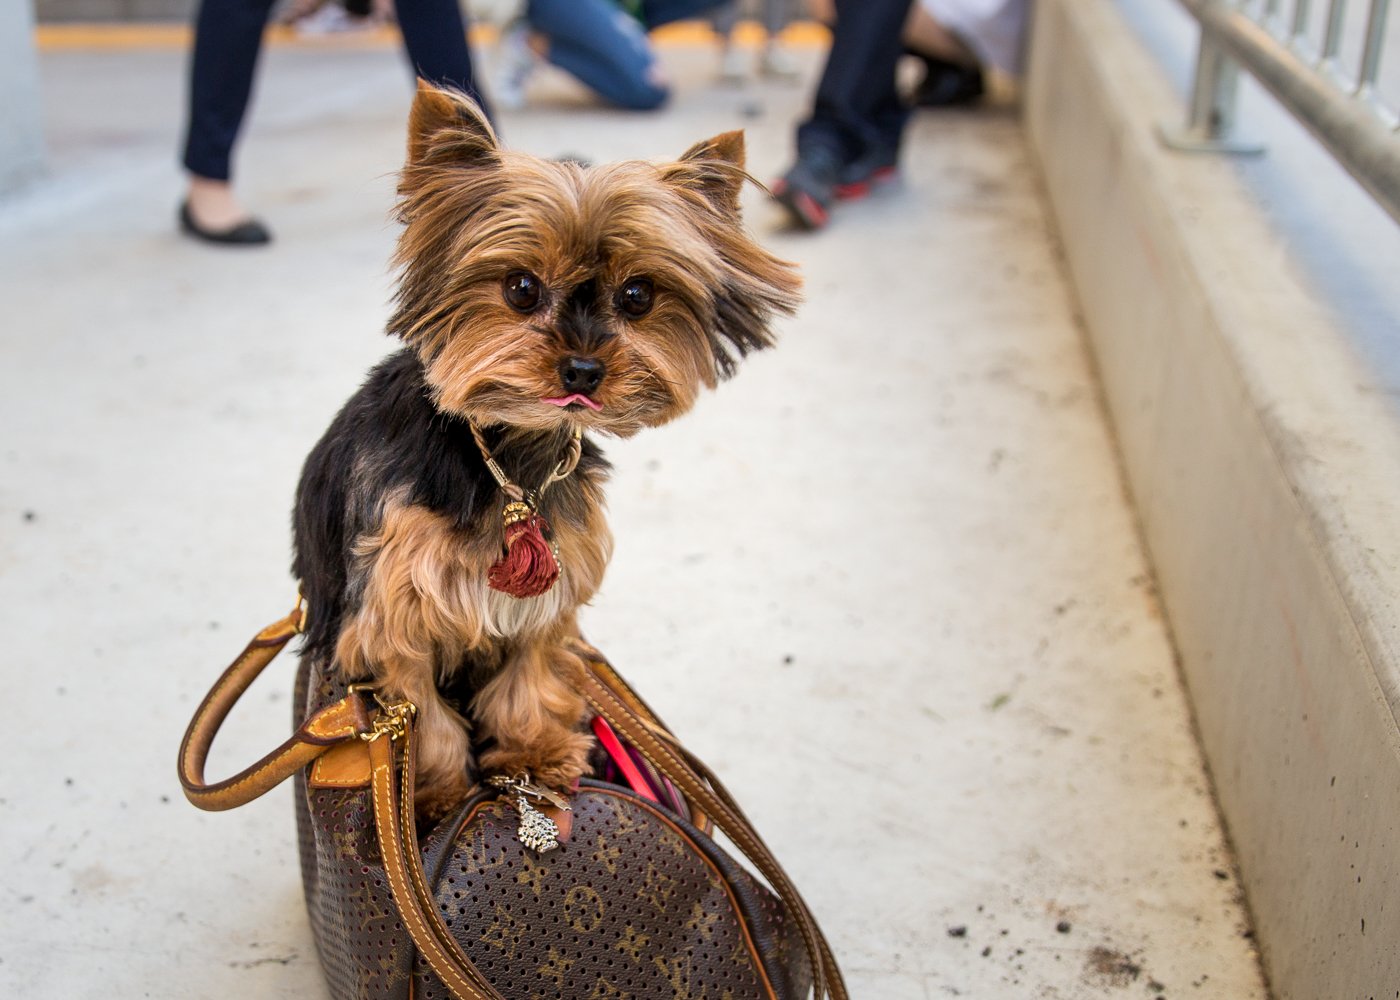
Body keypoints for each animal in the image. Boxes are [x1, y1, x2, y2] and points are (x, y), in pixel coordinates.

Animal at [295, 83, 800, 817]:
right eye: (521, 288)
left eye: (638, 295)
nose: (583, 370)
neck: (508, 457)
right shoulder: (394, 618)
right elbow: (422, 713)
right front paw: (437, 792)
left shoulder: (545, 602)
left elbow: (527, 680)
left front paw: (533, 756)